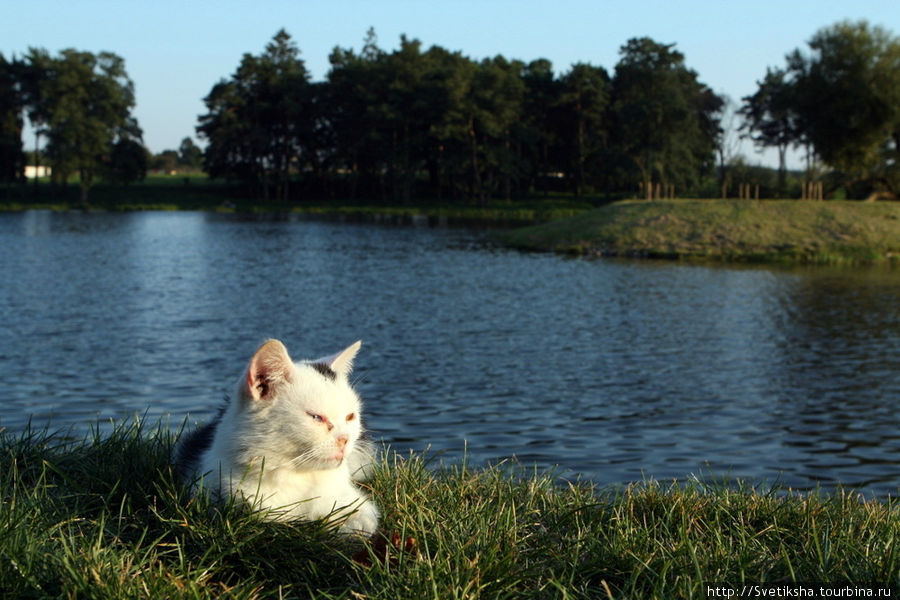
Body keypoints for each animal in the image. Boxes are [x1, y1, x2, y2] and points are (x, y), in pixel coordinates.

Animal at [173, 338, 380, 540]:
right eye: (316, 417)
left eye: (350, 416)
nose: (345, 440)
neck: (296, 476)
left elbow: (362, 518)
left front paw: (349, 525)